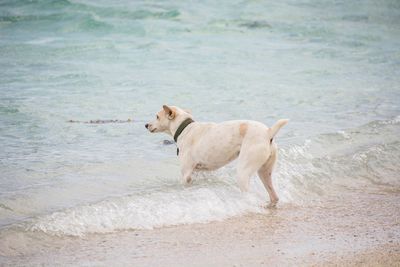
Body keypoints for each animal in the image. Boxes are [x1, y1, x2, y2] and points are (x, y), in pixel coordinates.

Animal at [145, 105, 290, 206]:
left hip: (243, 171)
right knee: (274, 195)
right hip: (265, 172)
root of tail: (268, 133)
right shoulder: (199, 172)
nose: (146, 125)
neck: (184, 129)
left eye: (157, 116)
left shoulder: (186, 174)